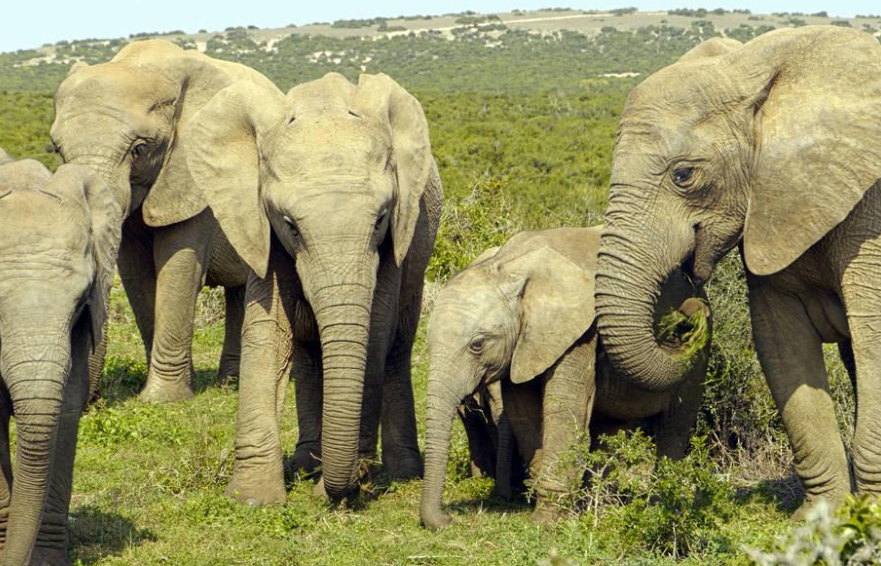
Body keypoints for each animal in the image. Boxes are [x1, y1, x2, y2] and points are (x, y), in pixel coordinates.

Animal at [50, 39, 264, 403]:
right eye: (57, 150)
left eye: (138, 149)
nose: (92, 401)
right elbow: (137, 274)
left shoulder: (193, 172)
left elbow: (179, 265)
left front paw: (164, 399)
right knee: (238, 291)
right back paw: (229, 383)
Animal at [177, 72, 443, 503]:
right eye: (290, 224)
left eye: (380, 219)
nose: (333, 493)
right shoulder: (260, 229)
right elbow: (267, 334)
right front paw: (252, 499)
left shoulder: (394, 239)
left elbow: (374, 333)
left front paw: (345, 483)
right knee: (307, 353)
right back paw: (306, 464)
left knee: (397, 346)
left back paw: (400, 473)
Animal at [420, 226, 711, 529]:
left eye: (477, 344)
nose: (448, 519)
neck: (510, 267)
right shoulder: (524, 344)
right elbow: (522, 410)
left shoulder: (580, 330)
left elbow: (562, 407)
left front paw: (545, 522)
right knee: (610, 428)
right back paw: (600, 504)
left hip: (698, 361)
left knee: (675, 426)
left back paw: (660, 507)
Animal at [595, 26, 881, 518]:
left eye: (683, 175)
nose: (691, 304)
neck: (754, 67)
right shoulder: (773, 202)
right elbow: (780, 340)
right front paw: (818, 520)